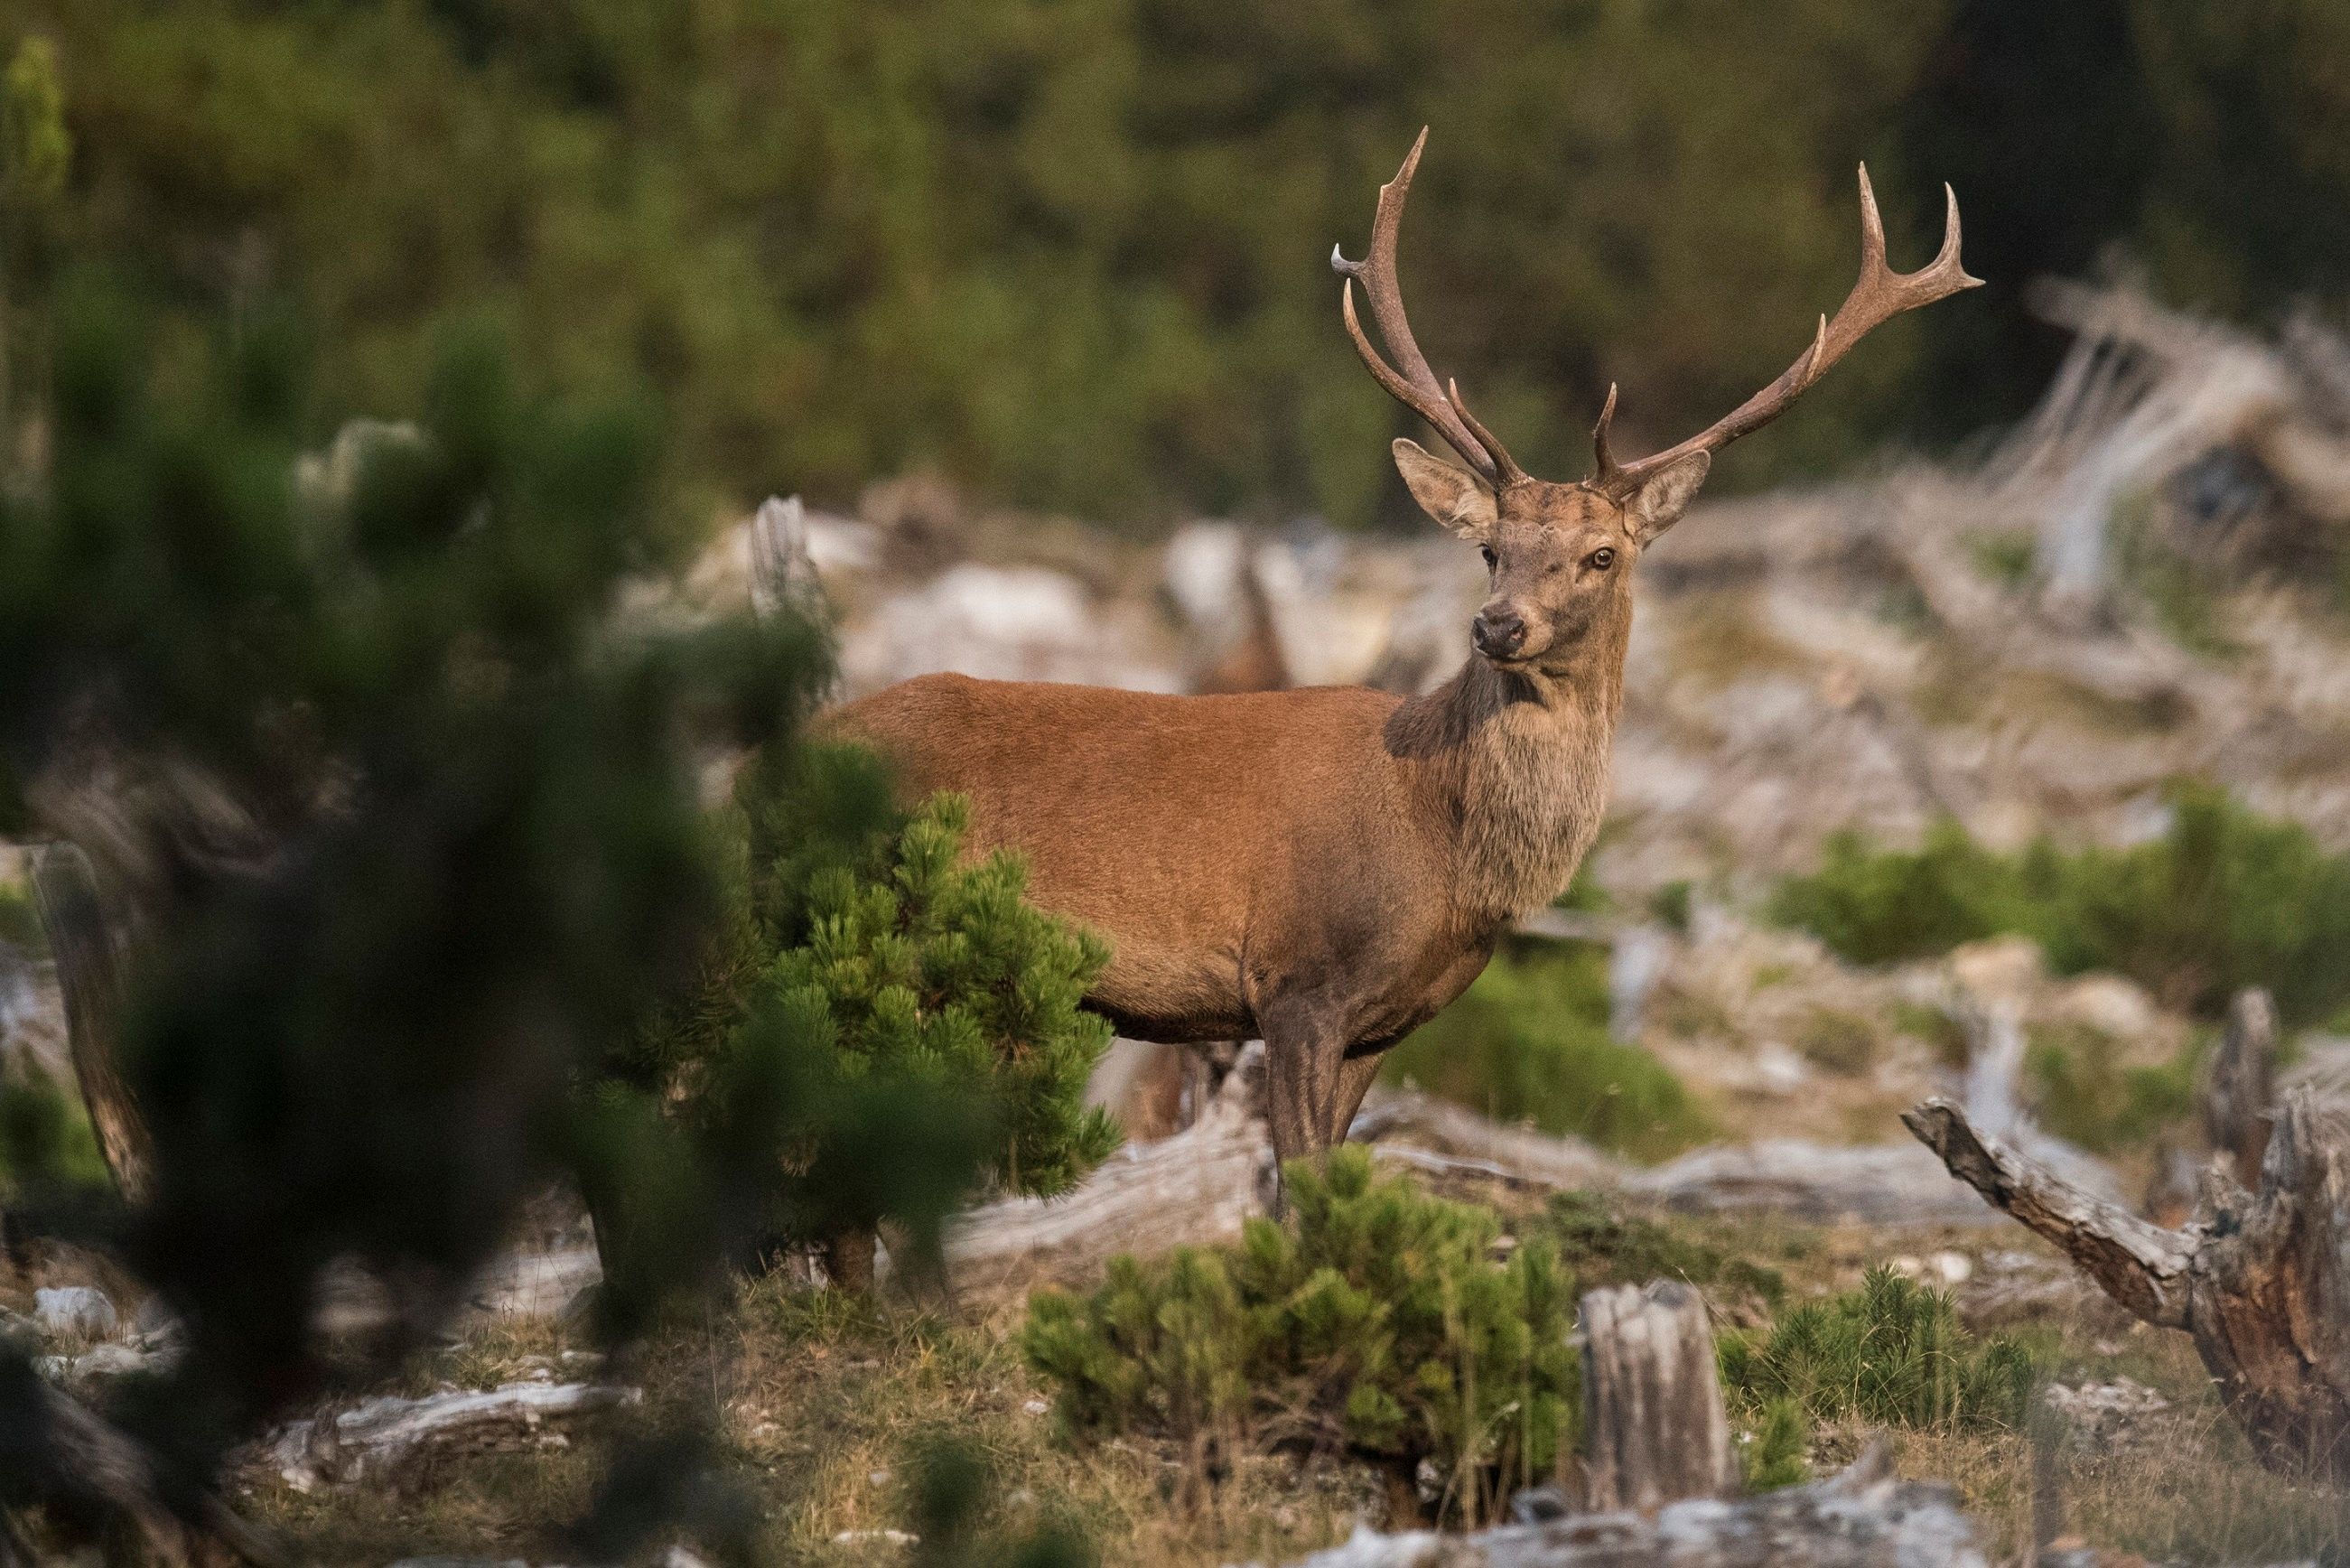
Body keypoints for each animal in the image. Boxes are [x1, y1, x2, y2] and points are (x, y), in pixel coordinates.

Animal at [834, 131, 1979, 1166]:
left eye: (1601, 552)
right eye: (1488, 546)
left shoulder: (1381, 1023)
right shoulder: (1294, 982)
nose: (1498, 623)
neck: (1444, 850)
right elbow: (1299, 1188)